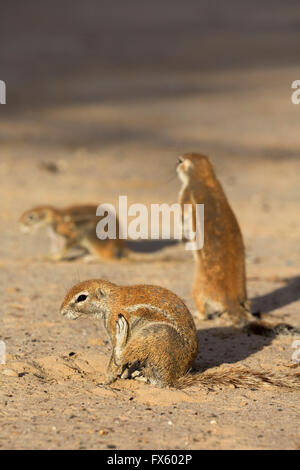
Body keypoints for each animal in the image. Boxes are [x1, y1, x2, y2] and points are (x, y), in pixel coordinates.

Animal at [59, 280, 300, 390]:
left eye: (81, 297)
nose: (61, 312)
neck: (111, 300)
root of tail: (176, 378)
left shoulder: (112, 320)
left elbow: (114, 361)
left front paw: (107, 380)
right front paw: (122, 375)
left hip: (154, 333)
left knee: (138, 364)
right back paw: (138, 375)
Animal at [177, 153, 250, 326]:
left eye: (180, 160)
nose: (176, 165)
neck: (205, 178)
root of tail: (230, 299)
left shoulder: (185, 193)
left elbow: (181, 213)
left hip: (197, 286)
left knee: (200, 303)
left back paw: (199, 315)